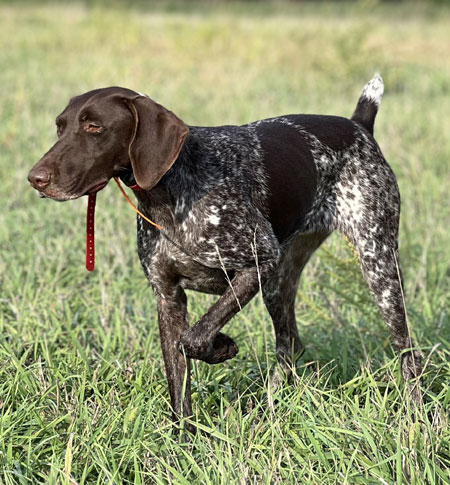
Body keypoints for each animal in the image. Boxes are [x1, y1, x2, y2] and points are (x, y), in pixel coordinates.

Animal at [27, 73, 422, 426]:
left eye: (94, 127)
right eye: (60, 128)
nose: (35, 178)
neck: (169, 193)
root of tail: (358, 126)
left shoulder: (258, 263)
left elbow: (194, 338)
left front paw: (222, 346)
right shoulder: (168, 297)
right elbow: (178, 377)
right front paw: (182, 445)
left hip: (378, 266)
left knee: (409, 354)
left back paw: (416, 418)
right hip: (280, 283)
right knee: (289, 346)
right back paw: (269, 411)